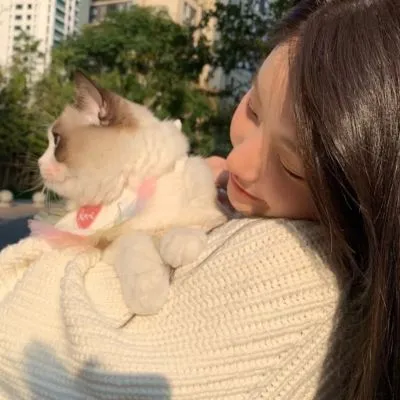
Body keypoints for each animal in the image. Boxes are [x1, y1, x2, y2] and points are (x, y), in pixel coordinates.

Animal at [34, 71, 227, 315]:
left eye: (56, 141)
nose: (39, 163)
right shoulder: (109, 244)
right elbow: (134, 243)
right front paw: (148, 295)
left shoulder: (216, 215)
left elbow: (190, 226)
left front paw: (178, 246)